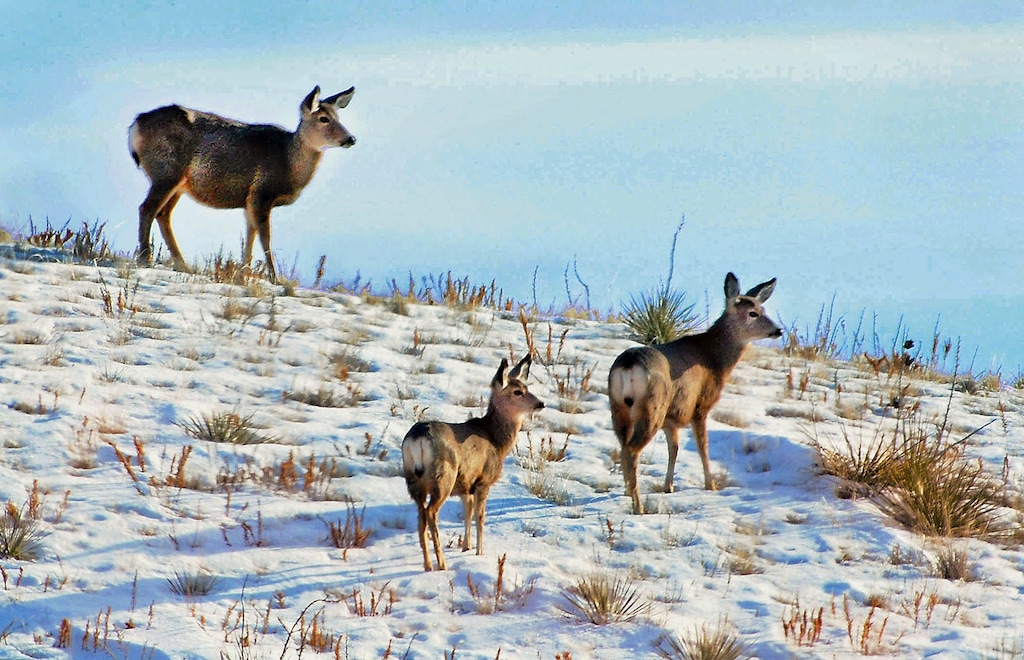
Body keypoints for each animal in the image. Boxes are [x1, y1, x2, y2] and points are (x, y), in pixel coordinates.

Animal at [128, 85, 356, 284]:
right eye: (323, 118)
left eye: (338, 117)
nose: (351, 138)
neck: (288, 163)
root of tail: (135, 125)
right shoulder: (261, 193)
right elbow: (265, 237)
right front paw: (275, 278)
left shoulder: (249, 201)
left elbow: (250, 236)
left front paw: (242, 275)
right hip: (166, 171)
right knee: (147, 208)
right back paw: (146, 259)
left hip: (179, 184)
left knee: (163, 213)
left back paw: (182, 265)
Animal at [402, 355, 544, 571]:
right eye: (518, 392)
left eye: (526, 387)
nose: (540, 404)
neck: (496, 441)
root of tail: (418, 438)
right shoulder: (483, 481)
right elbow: (480, 517)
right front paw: (479, 552)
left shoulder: (466, 484)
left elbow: (467, 513)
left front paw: (466, 547)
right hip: (444, 477)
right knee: (431, 512)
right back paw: (442, 563)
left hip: (413, 479)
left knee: (420, 516)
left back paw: (428, 565)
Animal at [608, 273, 782, 514]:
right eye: (752, 313)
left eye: (763, 309)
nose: (778, 330)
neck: (715, 359)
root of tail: (628, 365)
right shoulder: (701, 405)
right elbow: (702, 446)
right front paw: (711, 485)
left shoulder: (672, 417)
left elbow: (674, 448)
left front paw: (669, 486)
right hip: (652, 407)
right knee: (632, 451)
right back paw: (639, 507)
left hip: (619, 407)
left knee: (624, 447)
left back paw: (628, 492)